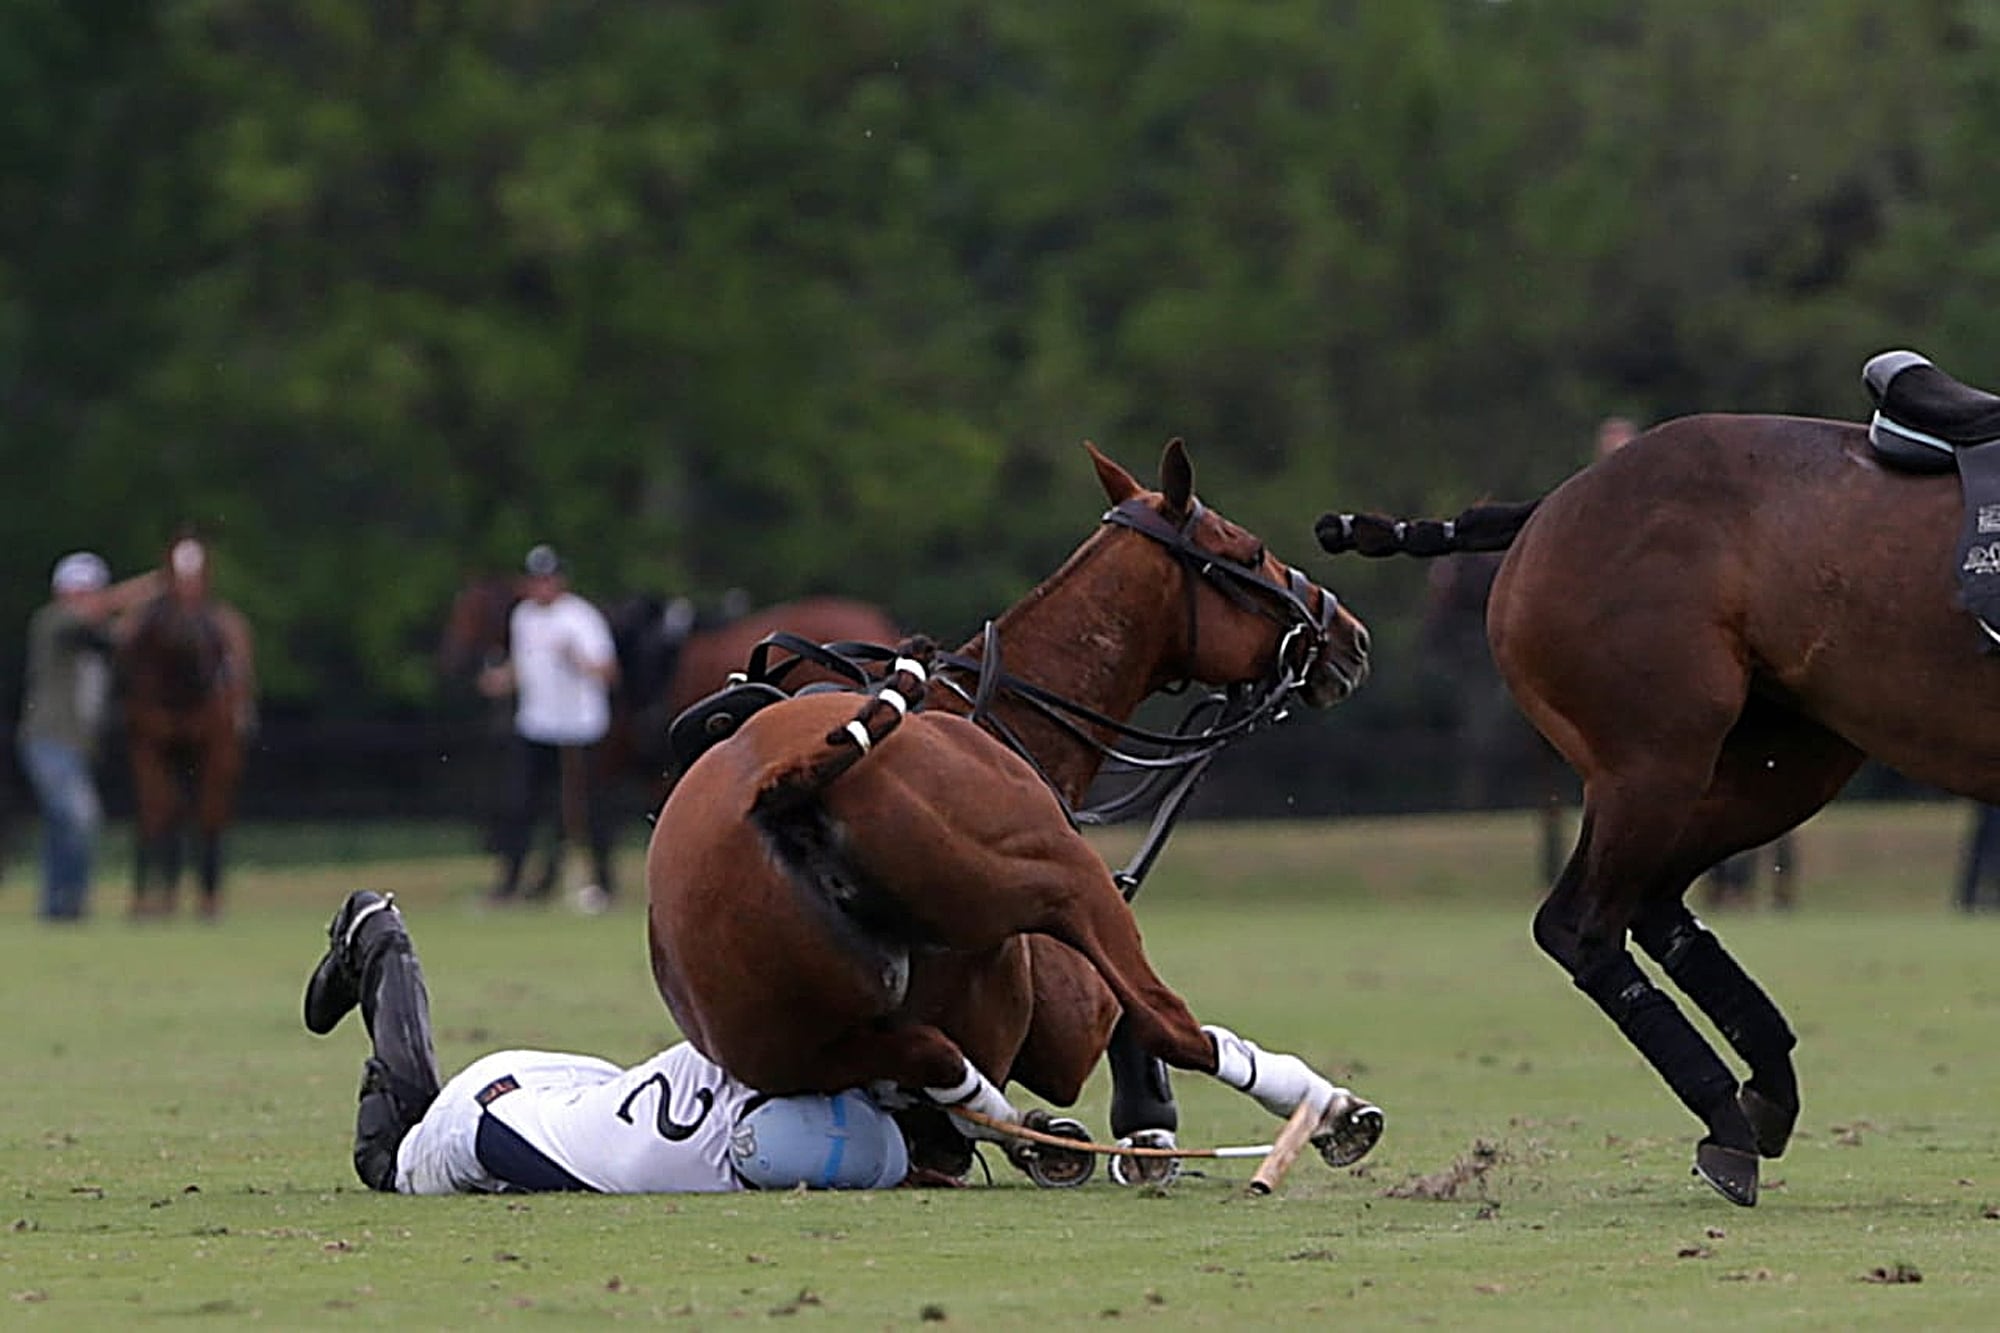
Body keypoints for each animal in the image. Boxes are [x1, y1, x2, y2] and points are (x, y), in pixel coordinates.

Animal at [118, 535, 255, 919]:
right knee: (175, 809)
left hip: (225, 753)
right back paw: (167, 895)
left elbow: (209, 811)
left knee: (214, 807)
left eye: (203, 574)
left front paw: (209, 902)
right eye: (170, 573)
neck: (180, 679)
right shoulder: (145, 744)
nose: (188, 628)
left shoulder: (218, 744)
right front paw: (144, 903)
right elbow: (155, 810)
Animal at [647, 438, 1384, 1187]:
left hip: (798, 1040)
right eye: (1250, 550)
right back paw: (1327, 1109)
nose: (1352, 638)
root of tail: (783, 787)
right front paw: (1151, 1129)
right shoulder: (1068, 1008)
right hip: (1059, 879)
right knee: (1167, 1021)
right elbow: (1134, 1019)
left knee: (932, 1059)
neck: (1008, 710)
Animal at [1315, 362, 2000, 1206]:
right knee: (1584, 925)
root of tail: (1558, 499)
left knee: (1652, 904)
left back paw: (1766, 1086)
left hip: (1766, 764)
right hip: (1654, 758)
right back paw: (1729, 1119)